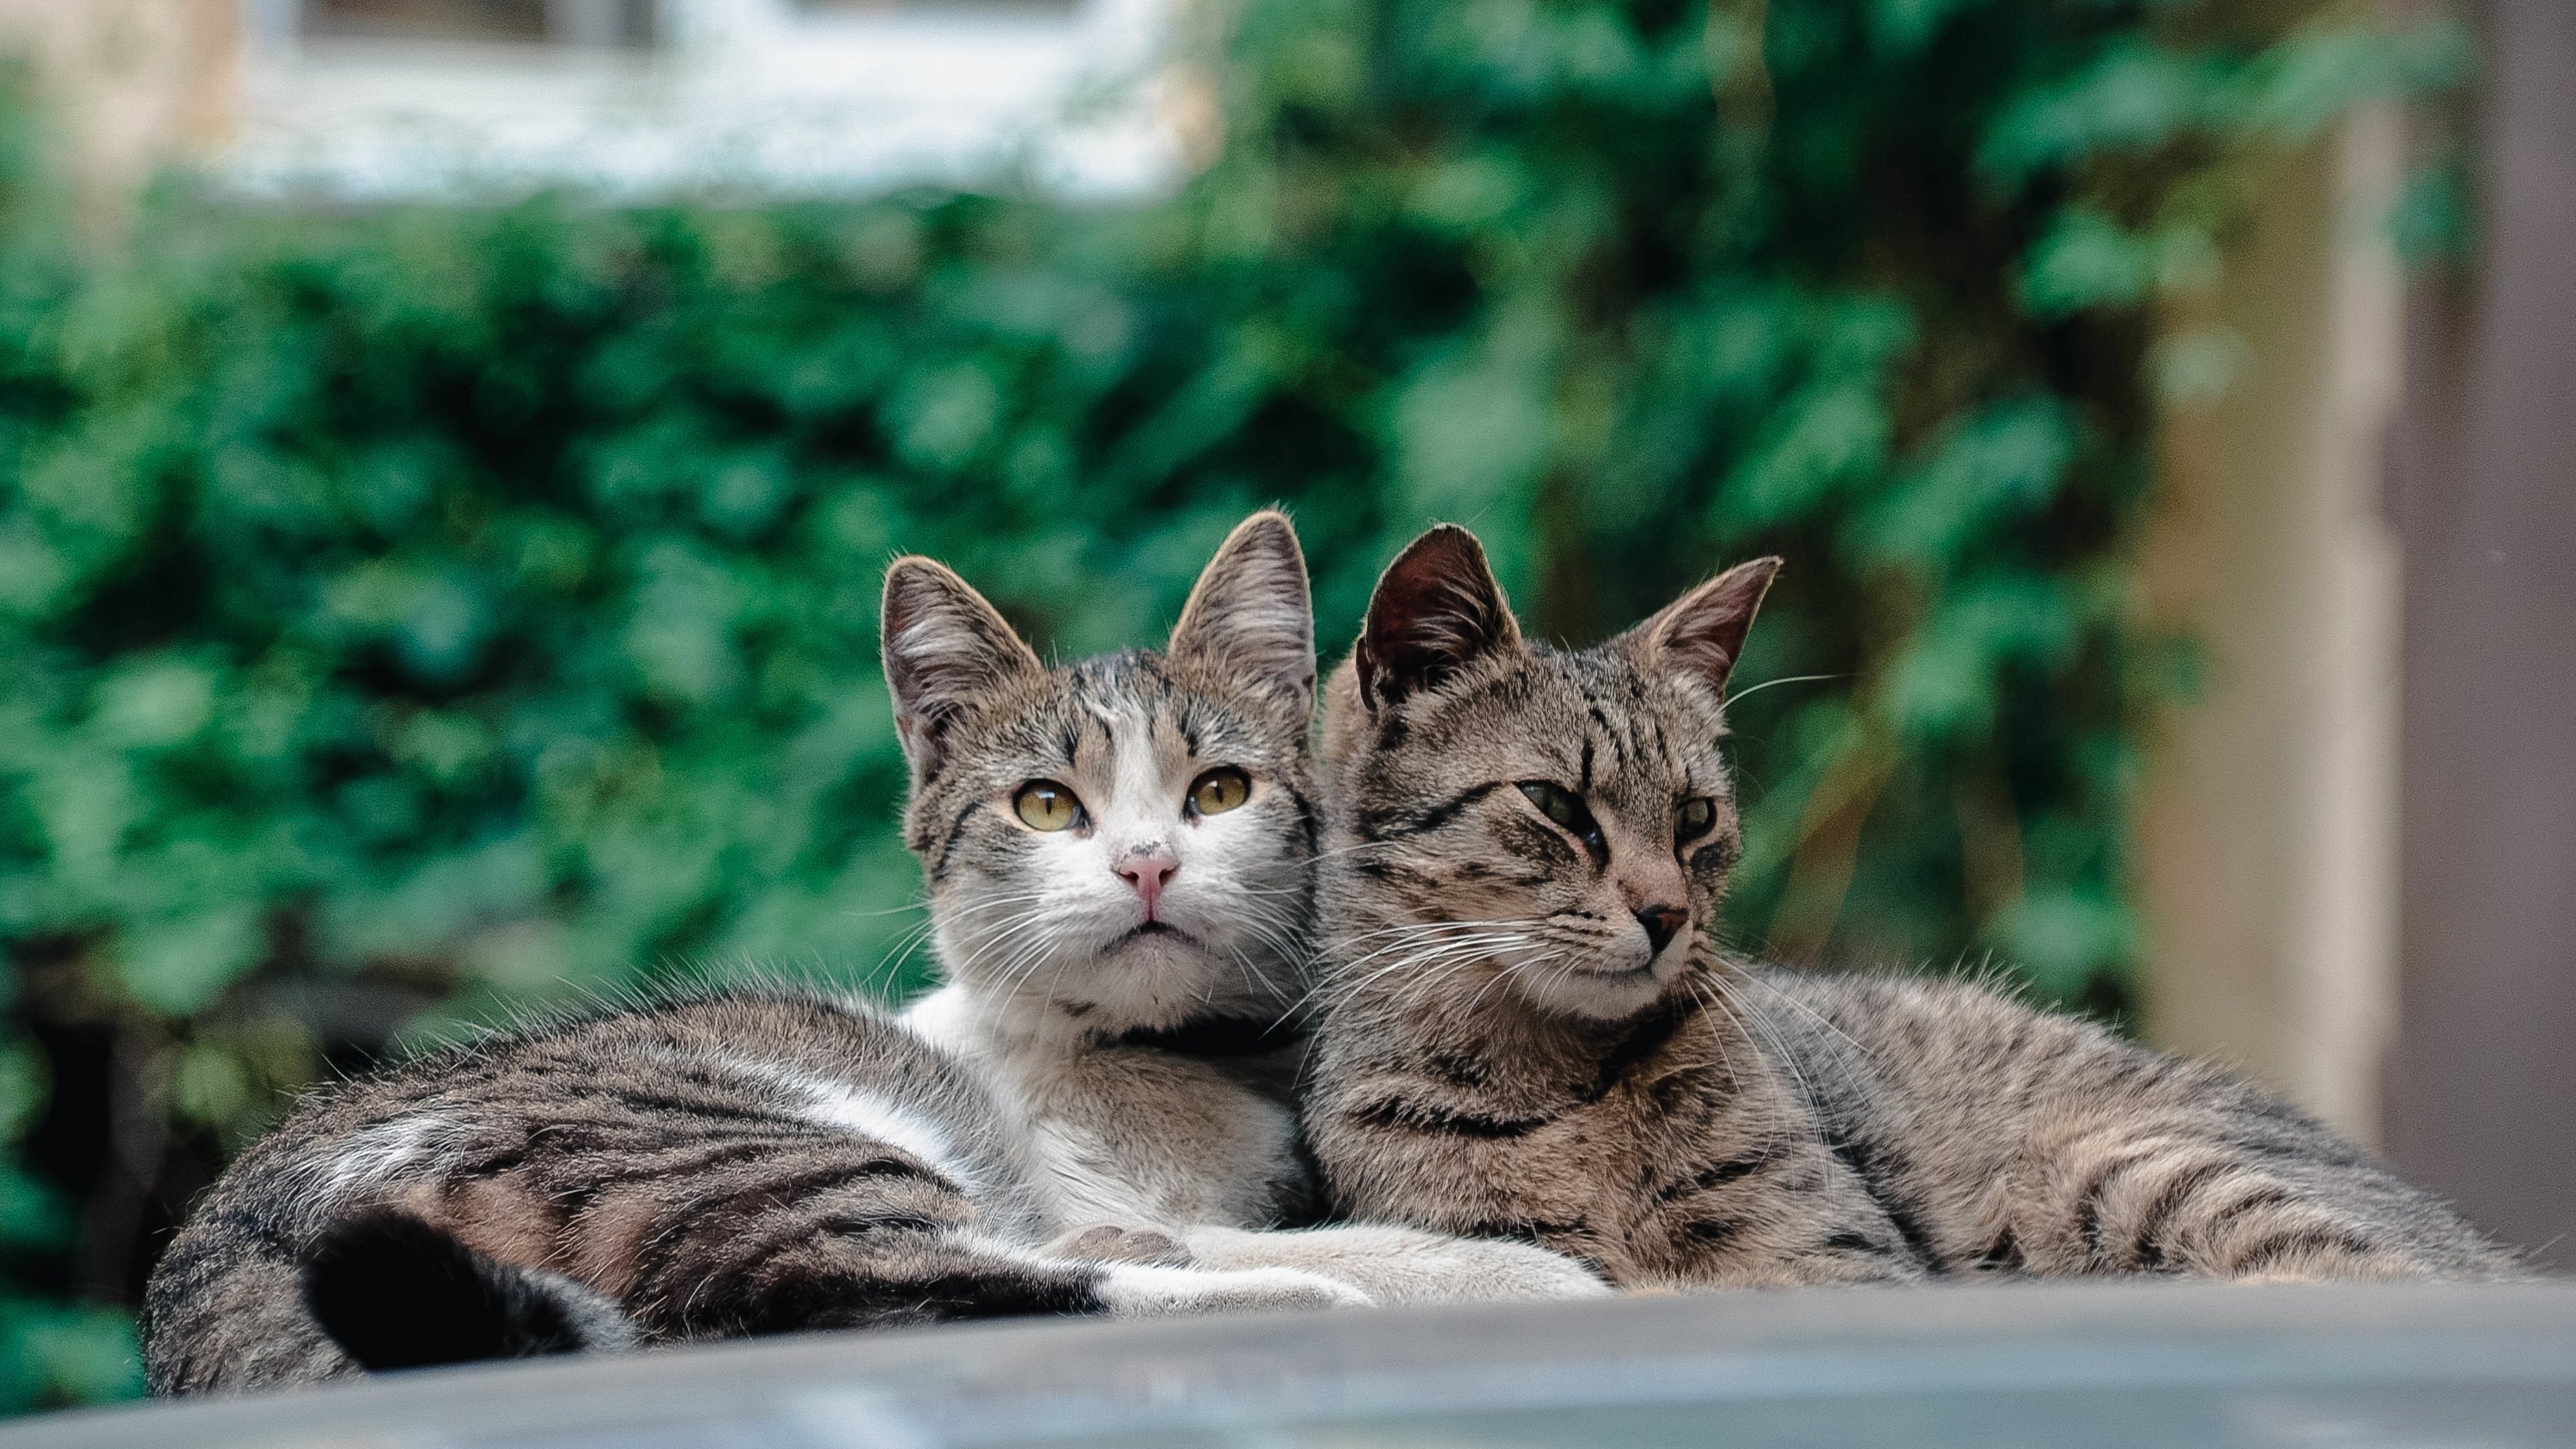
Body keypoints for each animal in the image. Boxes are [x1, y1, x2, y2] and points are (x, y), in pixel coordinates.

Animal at [1298, 521, 2524, 1283]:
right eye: (1557, 803)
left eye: (1695, 817)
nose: (1666, 913)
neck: (1562, 1078)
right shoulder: (1504, 1242)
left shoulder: (1828, 1255)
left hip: (2121, 1166)